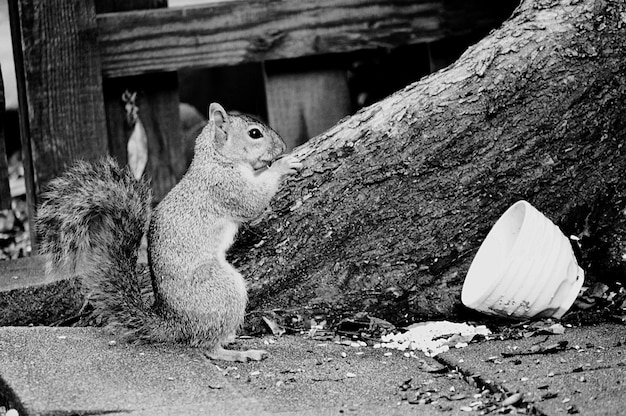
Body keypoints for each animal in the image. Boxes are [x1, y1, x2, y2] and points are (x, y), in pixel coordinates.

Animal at [35, 103, 302, 360]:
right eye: (254, 133)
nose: (283, 146)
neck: (216, 159)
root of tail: (176, 323)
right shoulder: (226, 187)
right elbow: (253, 202)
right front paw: (283, 165)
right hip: (222, 288)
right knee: (207, 347)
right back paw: (237, 353)